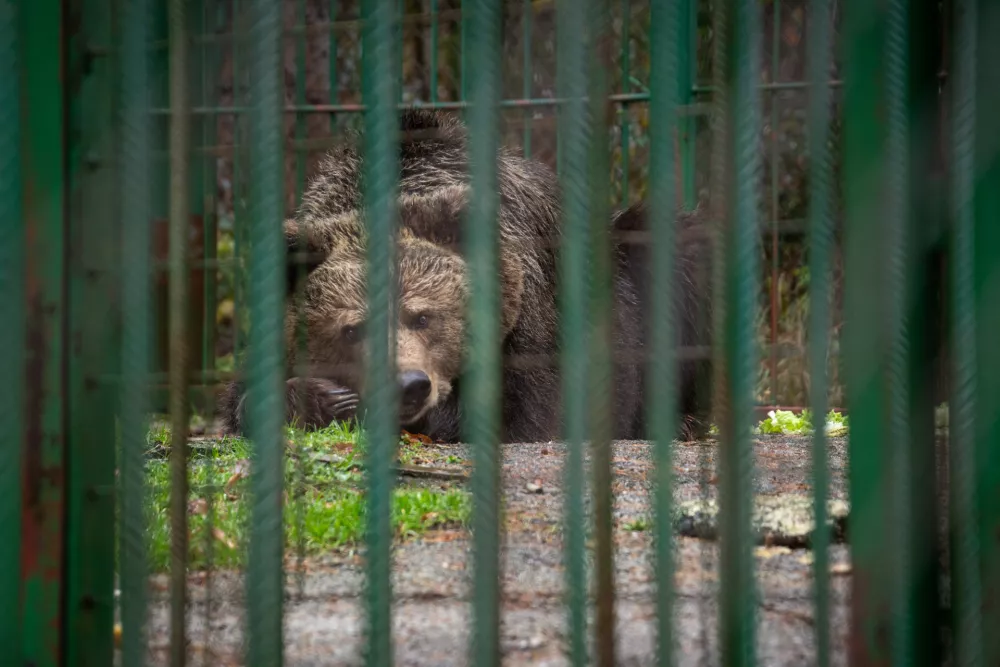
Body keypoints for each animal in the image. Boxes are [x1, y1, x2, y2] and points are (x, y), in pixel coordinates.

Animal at [218, 109, 713, 444]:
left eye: (423, 316)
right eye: (352, 329)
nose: (410, 385)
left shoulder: (531, 319)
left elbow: (523, 410)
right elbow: (243, 398)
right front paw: (321, 398)